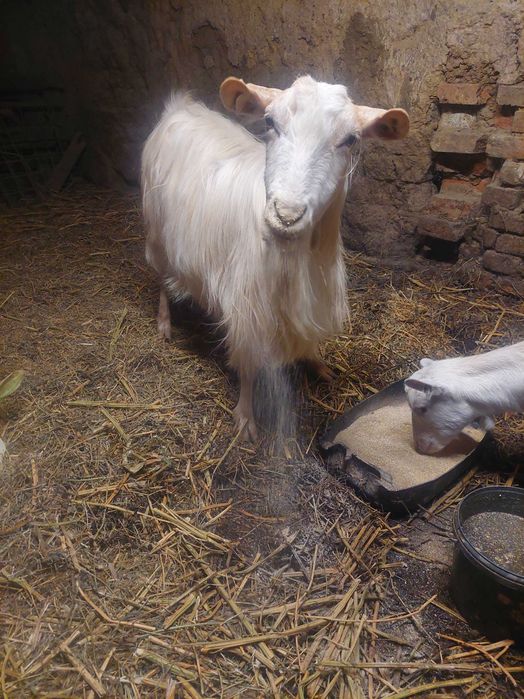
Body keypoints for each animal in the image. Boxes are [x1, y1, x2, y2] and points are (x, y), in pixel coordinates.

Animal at [142, 75, 410, 439]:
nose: (286, 215)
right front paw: (245, 418)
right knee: (161, 278)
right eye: (269, 122)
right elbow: (249, 363)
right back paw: (164, 323)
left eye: (350, 139)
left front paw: (319, 364)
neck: (297, 257)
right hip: (155, 230)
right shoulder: (247, 305)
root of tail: (180, 106)